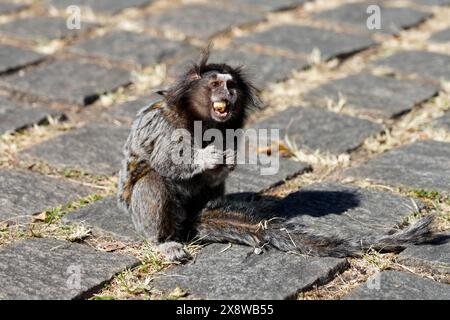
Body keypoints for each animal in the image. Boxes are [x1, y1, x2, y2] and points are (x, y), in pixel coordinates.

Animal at [118, 48, 434, 262]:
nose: (227, 94)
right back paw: (163, 241)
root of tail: (190, 221)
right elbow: (166, 161)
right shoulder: (164, 125)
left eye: (231, 85)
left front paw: (224, 163)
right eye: (215, 84)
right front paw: (206, 158)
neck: (201, 121)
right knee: (154, 181)